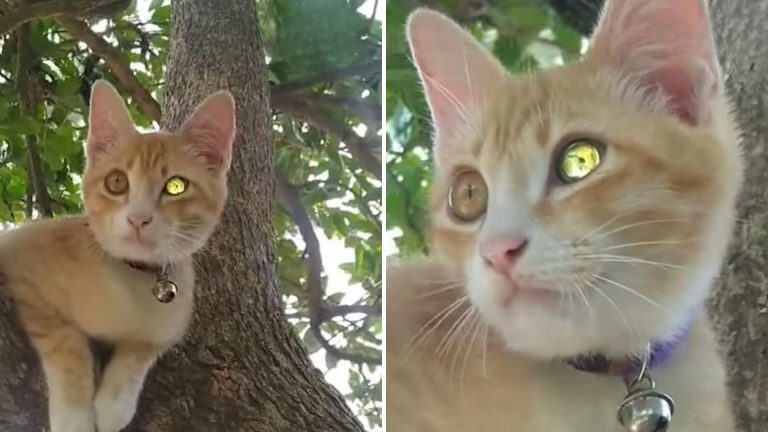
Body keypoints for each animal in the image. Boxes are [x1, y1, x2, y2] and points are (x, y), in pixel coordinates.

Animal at [0, 78, 236, 432]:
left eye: (176, 186)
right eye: (116, 182)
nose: (138, 219)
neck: (130, 280)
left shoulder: (171, 322)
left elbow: (142, 348)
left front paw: (114, 402)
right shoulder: (23, 262)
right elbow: (66, 341)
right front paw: (74, 415)